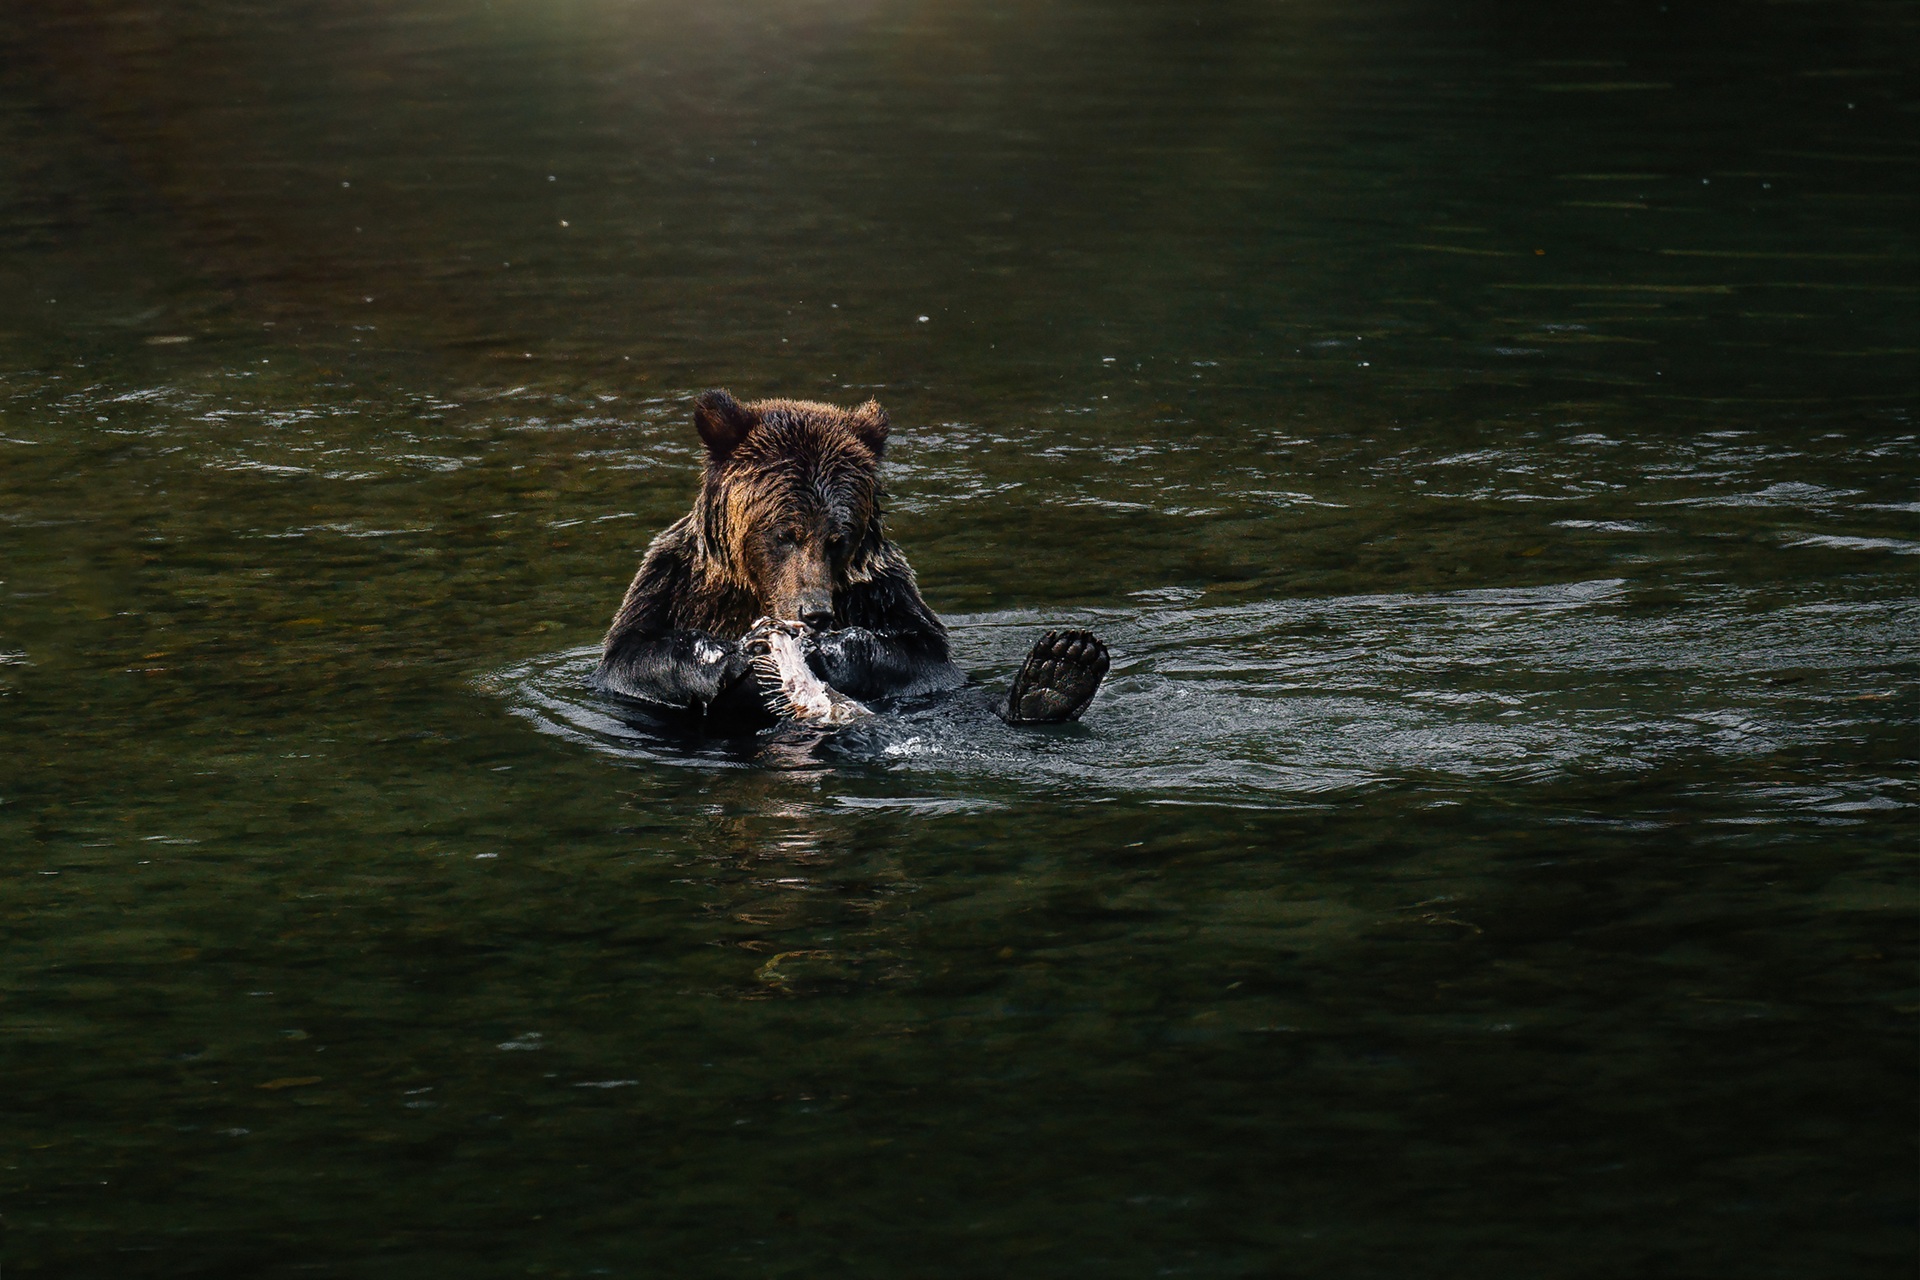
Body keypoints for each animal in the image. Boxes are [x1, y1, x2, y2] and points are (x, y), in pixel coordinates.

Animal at [594, 389, 1110, 730]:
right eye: (785, 534)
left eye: (837, 538)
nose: (815, 613)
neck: (756, 592)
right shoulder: (675, 580)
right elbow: (631, 656)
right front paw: (736, 651)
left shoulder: (880, 588)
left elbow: (924, 654)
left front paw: (826, 649)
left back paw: (1058, 672)